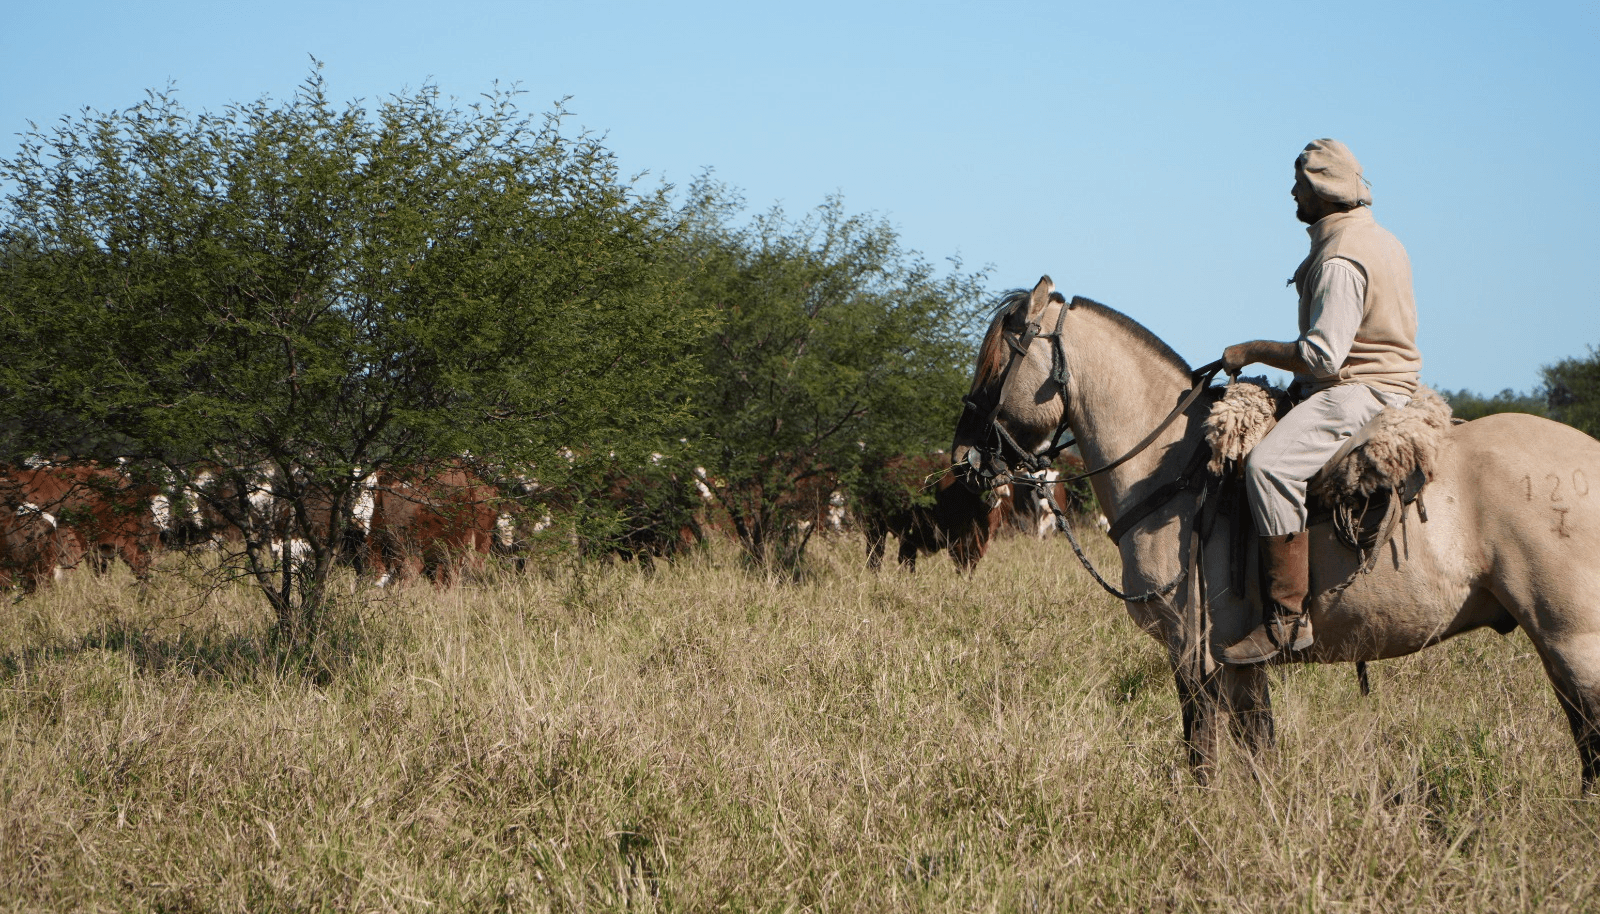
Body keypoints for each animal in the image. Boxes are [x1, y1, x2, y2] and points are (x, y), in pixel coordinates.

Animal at [952, 276, 1600, 790]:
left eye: (997, 360)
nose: (964, 458)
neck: (1174, 469)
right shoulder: (1240, 663)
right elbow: (1257, 746)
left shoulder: (1193, 652)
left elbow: (1203, 751)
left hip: (1571, 638)